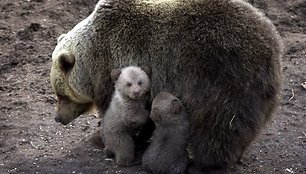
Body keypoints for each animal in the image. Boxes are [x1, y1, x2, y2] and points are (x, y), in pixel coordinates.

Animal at [49, 0, 282, 172]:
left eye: (61, 95)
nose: (58, 118)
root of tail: (271, 41)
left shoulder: (113, 67)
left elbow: (119, 113)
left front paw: (101, 139)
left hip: (220, 78)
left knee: (219, 125)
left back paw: (207, 163)